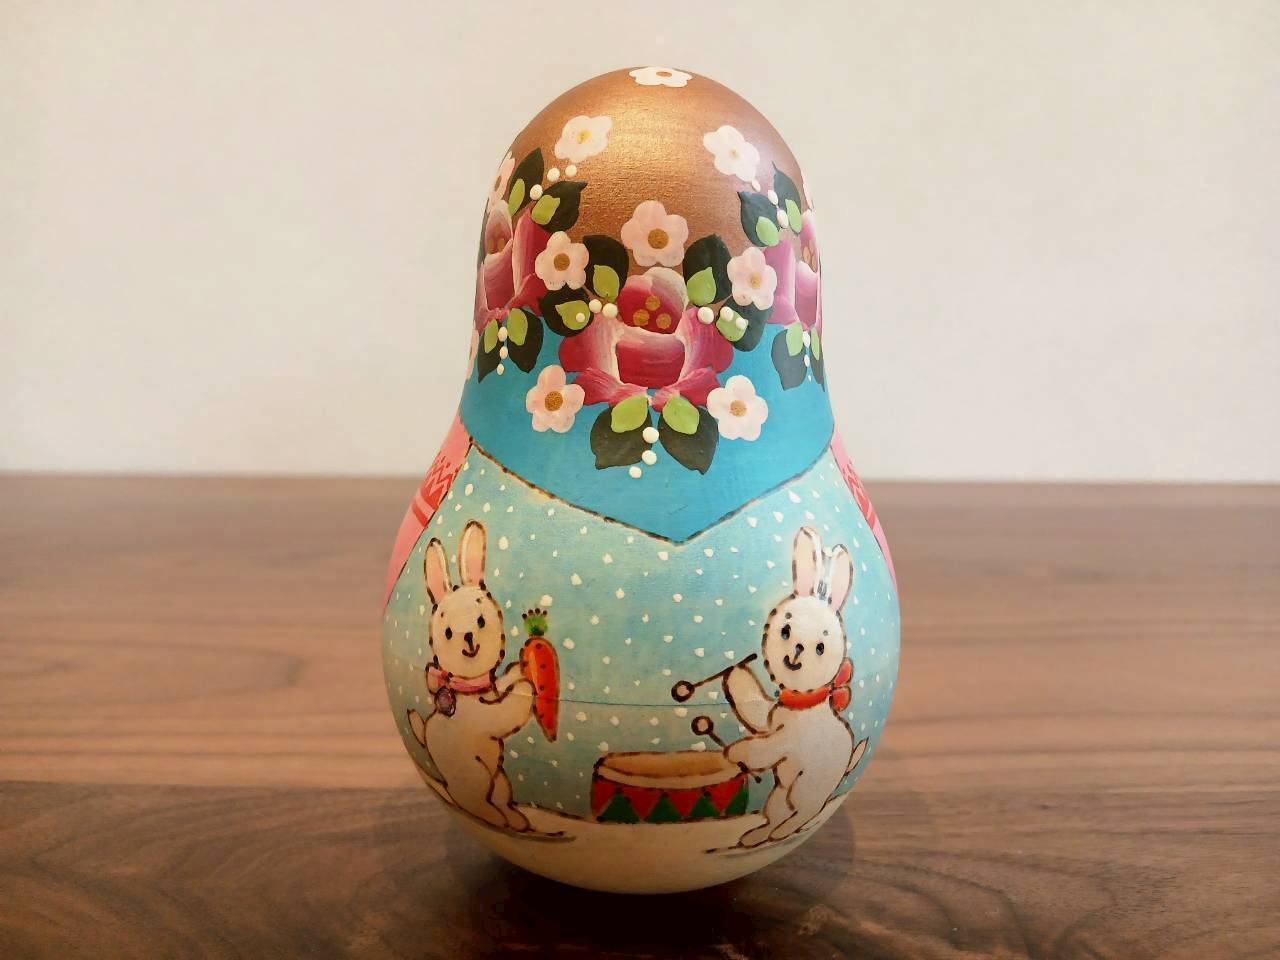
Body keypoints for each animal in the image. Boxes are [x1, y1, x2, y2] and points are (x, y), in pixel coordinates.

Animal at [405, 520, 534, 831]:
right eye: (448, 632)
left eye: (482, 620)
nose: (469, 638)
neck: (469, 686)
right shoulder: (481, 718)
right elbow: (503, 714)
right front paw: (527, 686)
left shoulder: (491, 686)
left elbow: (502, 682)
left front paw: (518, 671)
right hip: (474, 772)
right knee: (469, 798)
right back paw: (495, 817)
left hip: (498, 777)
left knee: (497, 796)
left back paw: (514, 818)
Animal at [723, 526, 869, 848]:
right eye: (785, 630)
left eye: (821, 647)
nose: (797, 650)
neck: (802, 704)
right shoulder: (771, 717)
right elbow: (756, 710)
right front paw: (736, 675)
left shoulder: (787, 740)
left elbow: (767, 747)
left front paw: (737, 753)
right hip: (781, 793)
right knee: (778, 812)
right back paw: (756, 835)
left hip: (807, 787)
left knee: (803, 813)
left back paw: (781, 832)